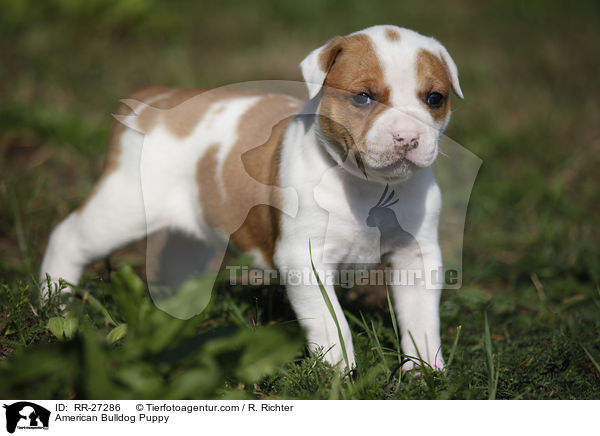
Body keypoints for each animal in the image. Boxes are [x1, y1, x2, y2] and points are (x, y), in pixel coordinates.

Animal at [41, 23, 464, 372]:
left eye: (434, 99)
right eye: (363, 97)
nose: (407, 137)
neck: (366, 185)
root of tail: (152, 99)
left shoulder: (416, 256)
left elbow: (421, 319)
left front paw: (426, 372)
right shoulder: (304, 259)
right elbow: (332, 323)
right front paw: (339, 375)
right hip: (123, 206)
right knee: (68, 237)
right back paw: (54, 302)